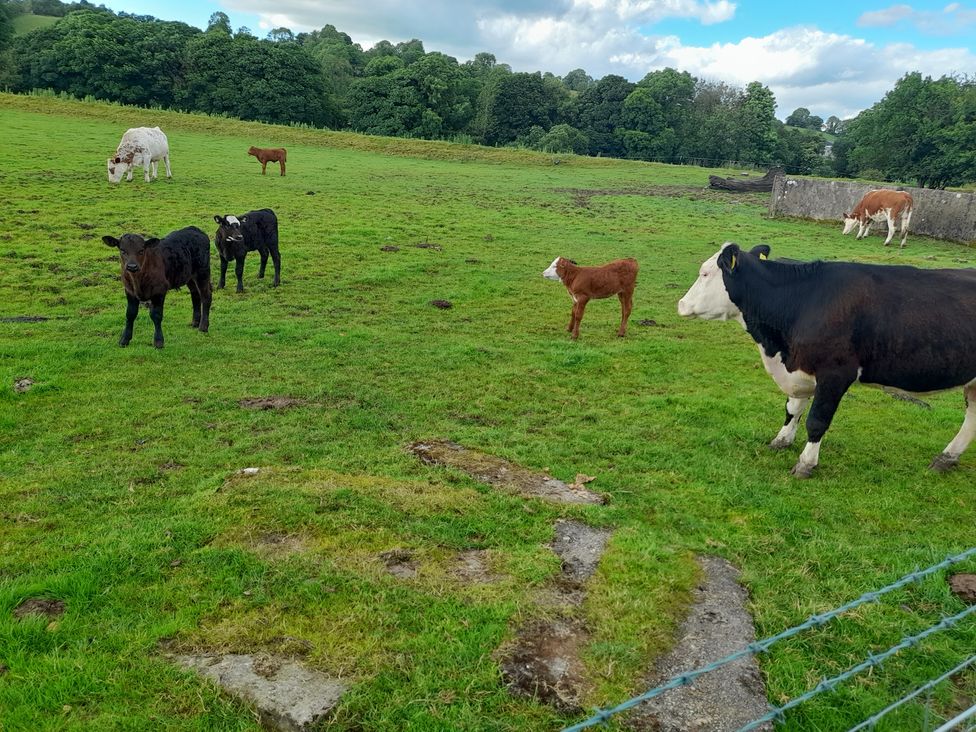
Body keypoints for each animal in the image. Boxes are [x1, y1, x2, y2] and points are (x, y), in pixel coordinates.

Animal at [677, 242, 976, 477]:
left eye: (705, 273)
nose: (680, 304)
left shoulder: (835, 373)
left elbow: (817, 419)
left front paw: (806, 464)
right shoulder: (800, 368)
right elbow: (792, 408)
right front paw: (781, 440)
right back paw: (945, 459)